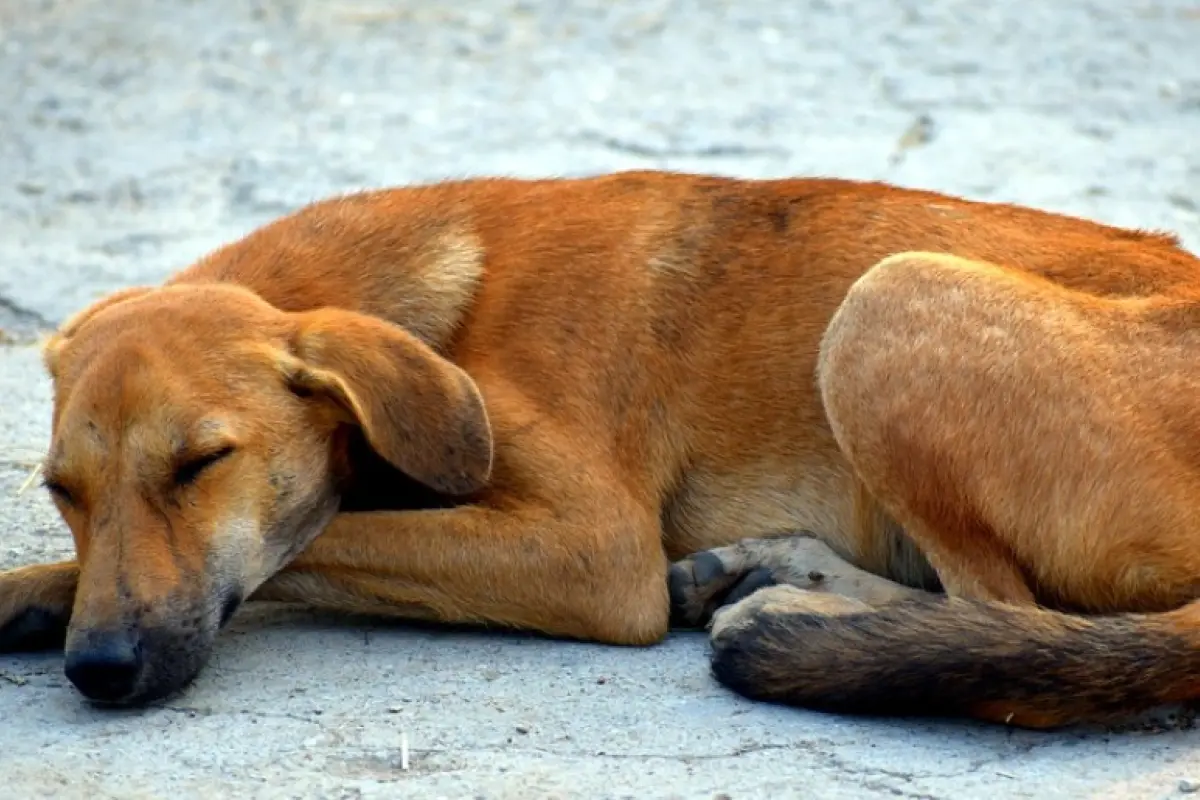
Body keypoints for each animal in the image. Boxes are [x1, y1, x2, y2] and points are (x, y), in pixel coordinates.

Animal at [2, 170, 1200, 734]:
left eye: (201, 464)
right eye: (63, 490)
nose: (99, 669)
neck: (448, 309)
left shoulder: (595, 551)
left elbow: (322, 534)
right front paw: (32, 592)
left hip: (888, 302)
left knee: (1015, 628)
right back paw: (779, 577)